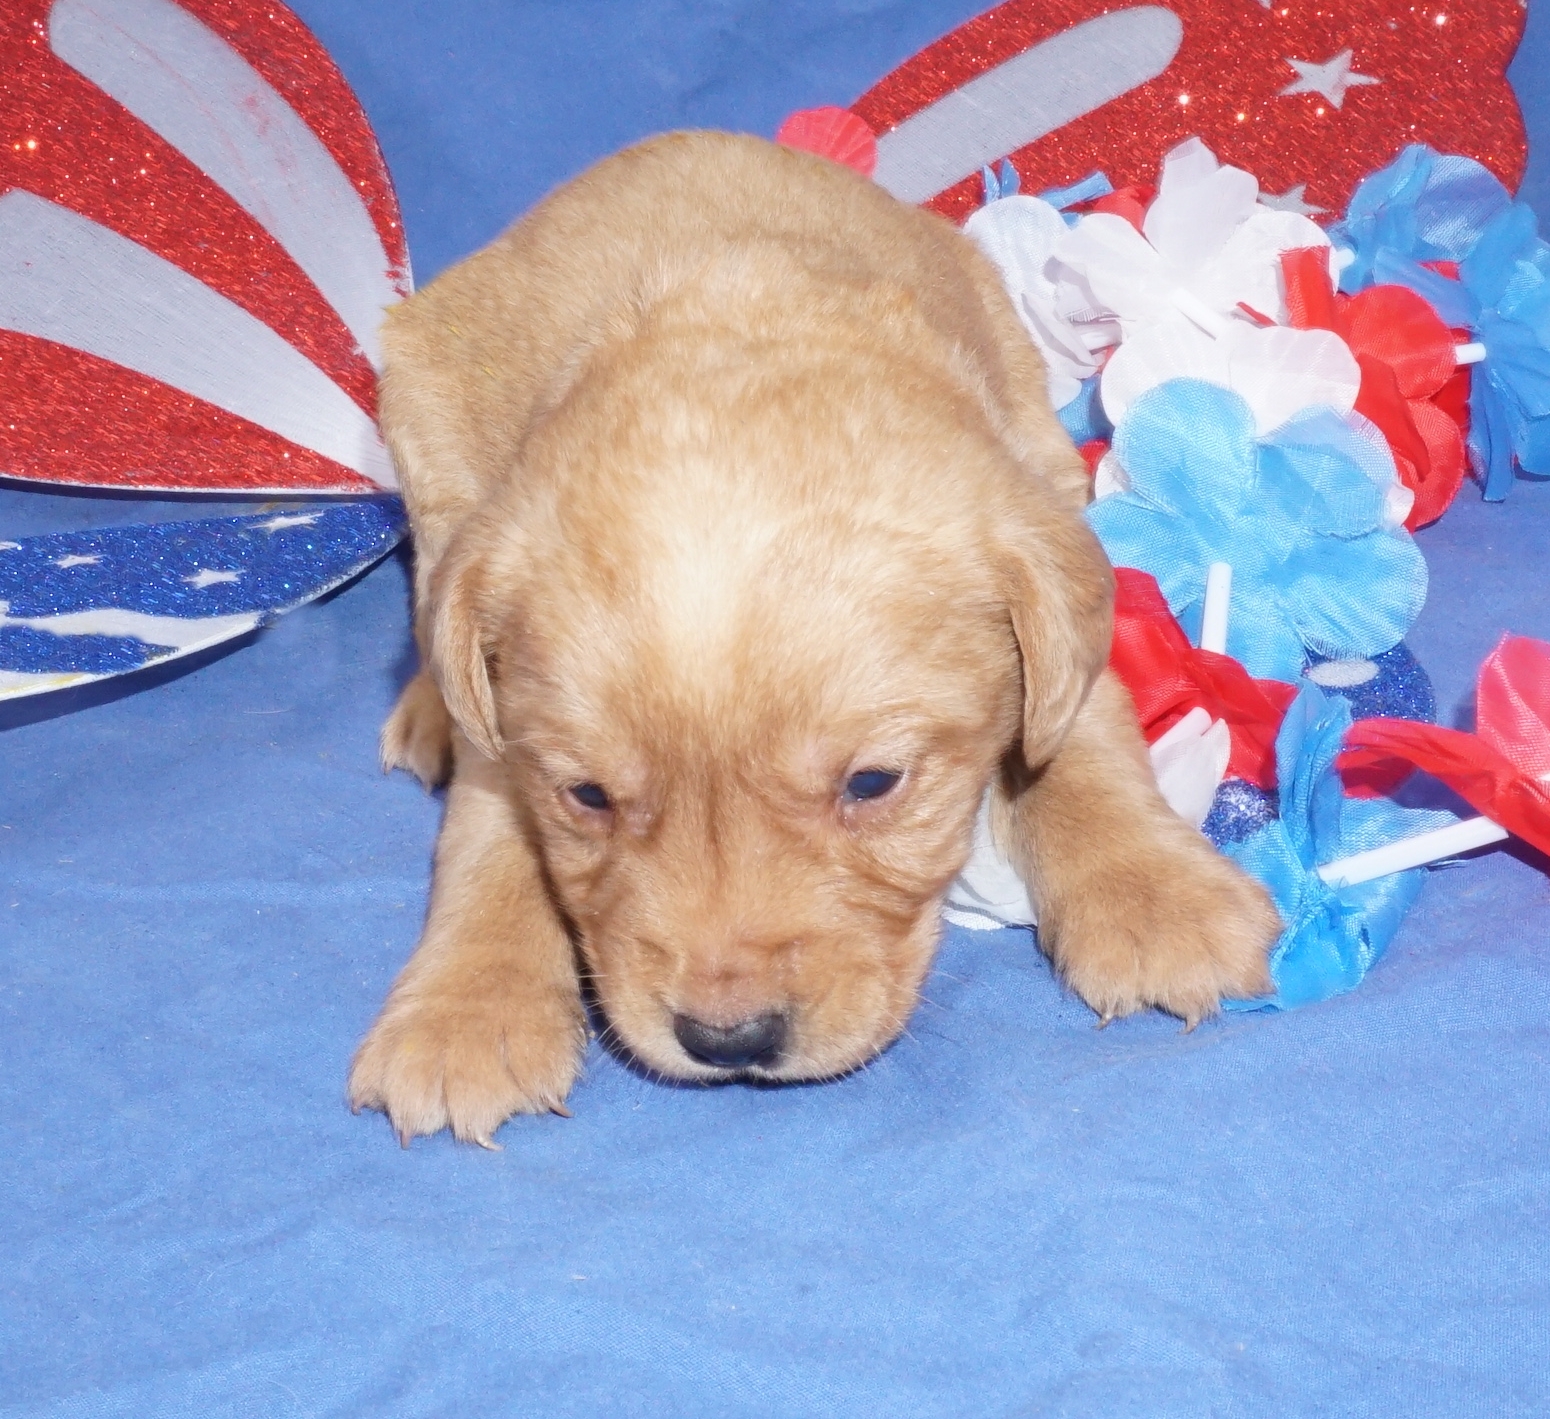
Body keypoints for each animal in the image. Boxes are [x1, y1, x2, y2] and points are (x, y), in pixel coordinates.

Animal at [351, 133, 1283, 1147]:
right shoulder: (498, 689)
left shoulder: (1044, 538)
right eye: (587, 796)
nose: (728, 1038)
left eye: (873, 784)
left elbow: (1080, 733)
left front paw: (1155, 893)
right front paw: (470, 1004)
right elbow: (487, 829)